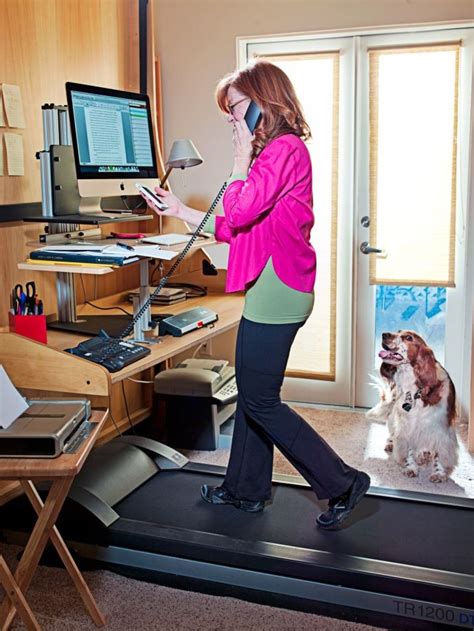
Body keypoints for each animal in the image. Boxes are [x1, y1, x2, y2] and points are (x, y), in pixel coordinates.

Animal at [364, 330, 458, 484]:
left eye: (409, 337)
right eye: (397, 331)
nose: (384, 334)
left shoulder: (440, 427)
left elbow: (439, 452)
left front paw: (439, 473)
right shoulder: (406, 423)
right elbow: (408, 448)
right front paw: (410, 467)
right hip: (394, 414)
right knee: (393, 432)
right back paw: (392, 444)